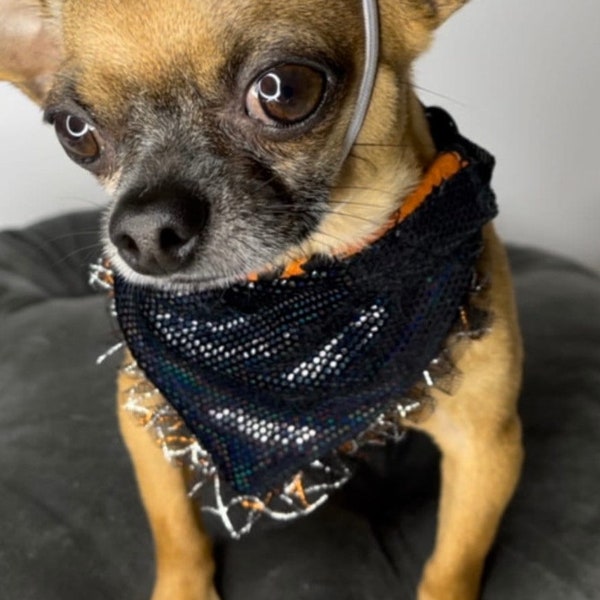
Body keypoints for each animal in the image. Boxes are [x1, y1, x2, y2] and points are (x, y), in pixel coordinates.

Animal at [2, 1, 524, 600]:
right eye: (76, 132)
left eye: (285, 90)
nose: (145, 229)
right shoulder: (144, 419)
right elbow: (174, 529)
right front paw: (183, 588)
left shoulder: (486, 449)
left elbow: (453, 564)